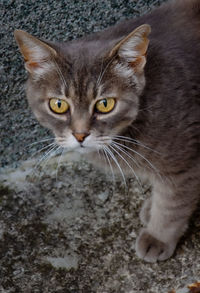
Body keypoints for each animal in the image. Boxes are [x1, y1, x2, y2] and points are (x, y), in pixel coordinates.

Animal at [13, 0, 198, 262]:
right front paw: (151, 206)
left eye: (105, 104)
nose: (80, 134)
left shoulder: (184, 162)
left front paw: (157, 236)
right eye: (58, 105)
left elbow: (172, 205)